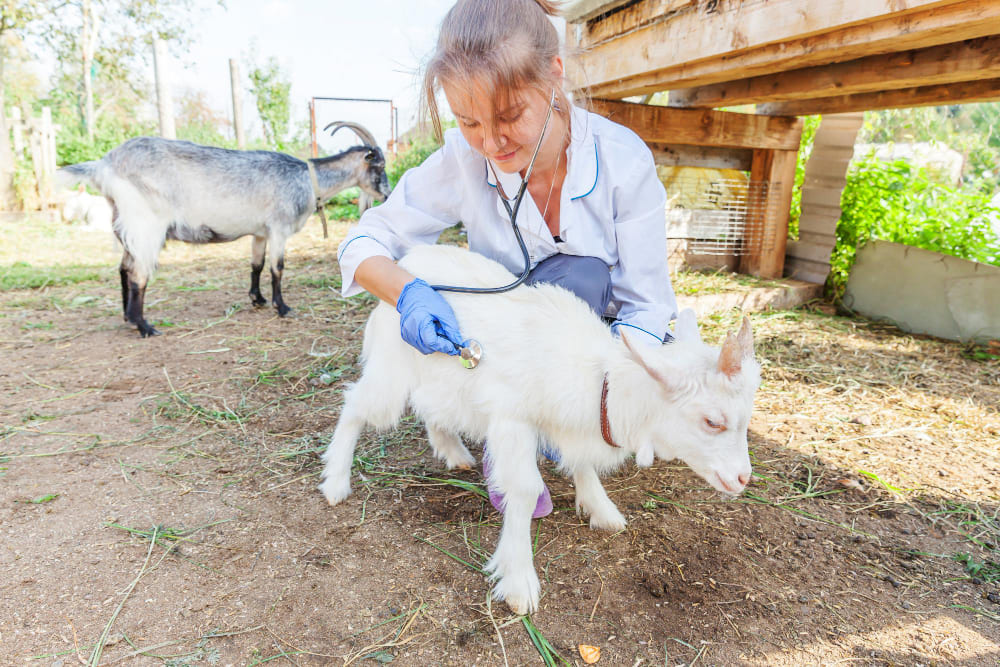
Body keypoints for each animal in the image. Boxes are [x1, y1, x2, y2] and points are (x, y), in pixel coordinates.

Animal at [54, 122, 390, 336]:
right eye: (380, 166)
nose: (387, 194)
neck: (308, 179)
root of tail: (104, 165)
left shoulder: (260, 232)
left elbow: (256, 265)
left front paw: (257, 300)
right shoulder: (279, 227)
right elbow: (277, 268)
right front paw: (283, 307)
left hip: (124, 222)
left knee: (124, 268)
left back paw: (127, 317)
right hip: (147, 224)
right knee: (138, 273)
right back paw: (144, 326)